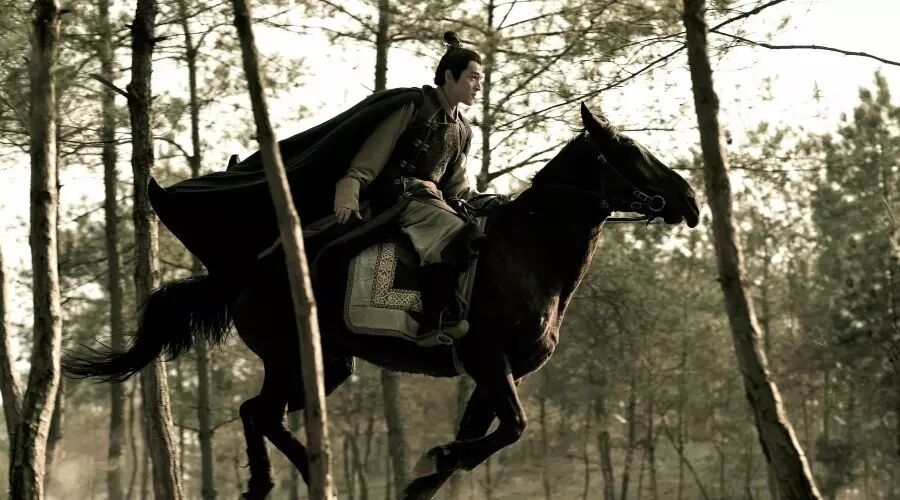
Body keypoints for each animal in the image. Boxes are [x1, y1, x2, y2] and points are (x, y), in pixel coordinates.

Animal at [64, 104, 700, 499]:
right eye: (630, 149)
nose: (690, 201)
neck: (527, 250)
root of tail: (247, 273)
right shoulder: (490, 362)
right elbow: (511, 430)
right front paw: (432, 461)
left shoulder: (494, 375)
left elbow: (482, 440)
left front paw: (425, 474)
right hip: (296, 357)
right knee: (260, 413)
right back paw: (308, 477)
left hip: (324, 366)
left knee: (255, 412)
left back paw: (270, 484)